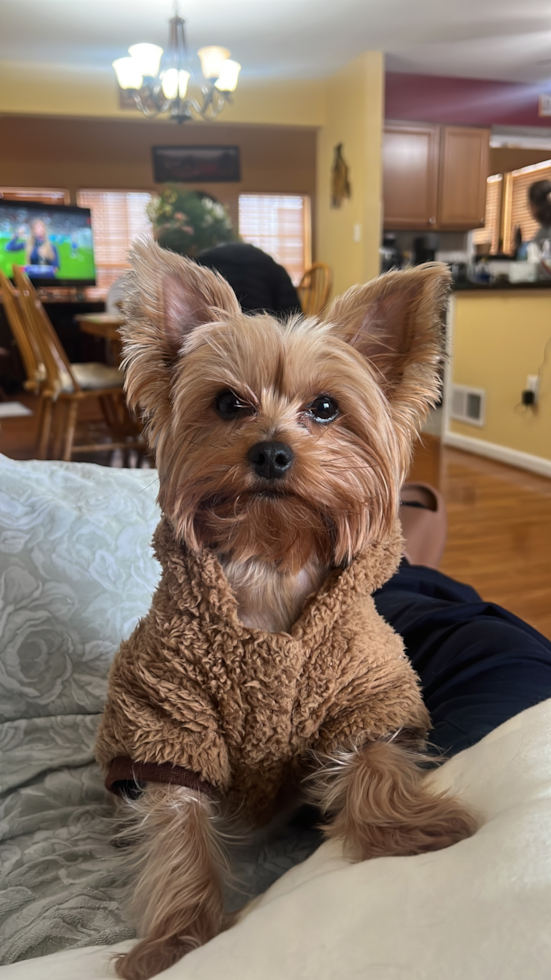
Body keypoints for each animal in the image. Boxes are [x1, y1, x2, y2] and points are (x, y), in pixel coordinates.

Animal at [97, 239, 476, 980]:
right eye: (227, 404)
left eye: (325, 408)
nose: (271, 451)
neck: (269, 559)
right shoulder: (170, 720)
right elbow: (180, 828)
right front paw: (174, 943)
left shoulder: (365, 693)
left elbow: (373, 760)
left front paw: (411, 831)